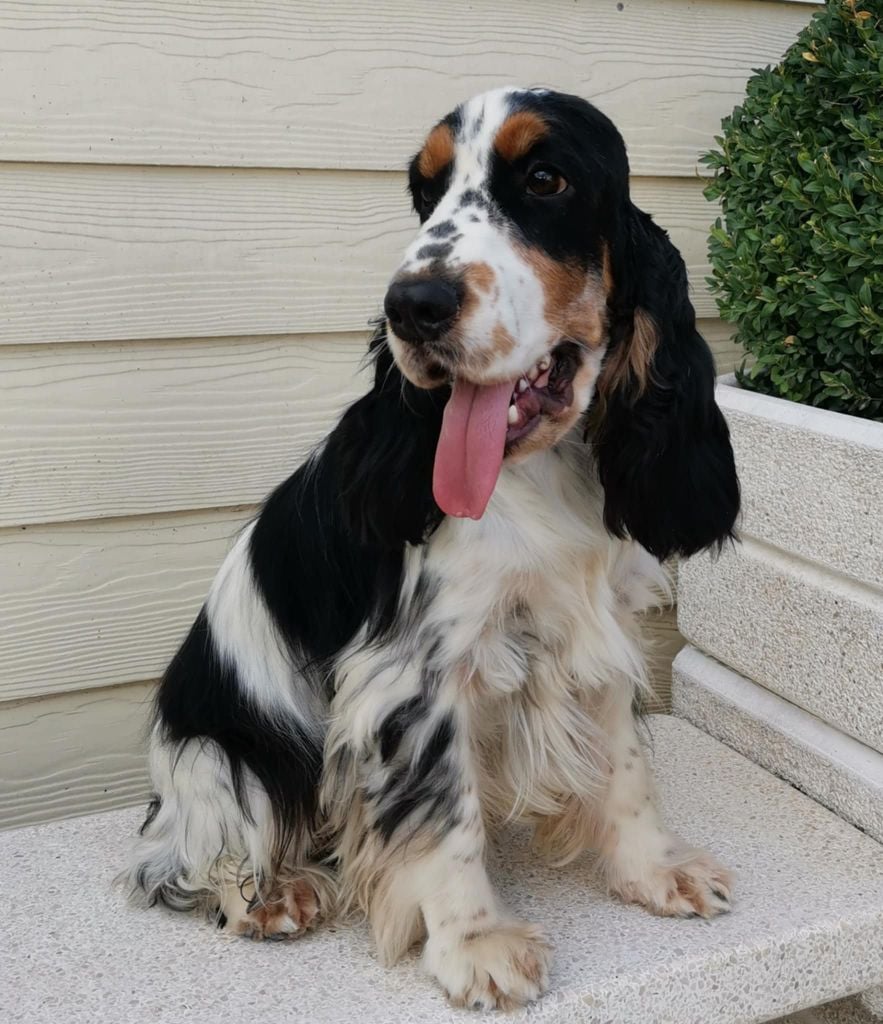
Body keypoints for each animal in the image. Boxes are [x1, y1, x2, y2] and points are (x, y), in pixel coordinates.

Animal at [124, 86, 739, 1010]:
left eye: (546, 178)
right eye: (423, 193)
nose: (411, 306)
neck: (540, 469)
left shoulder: (598, 633)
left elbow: (626, 768)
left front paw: (654, 872)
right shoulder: (413, 672)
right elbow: (444, 813)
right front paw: (476, 944)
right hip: (220, 757)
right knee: (184, 859)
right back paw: (273, 895)